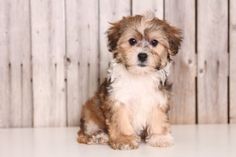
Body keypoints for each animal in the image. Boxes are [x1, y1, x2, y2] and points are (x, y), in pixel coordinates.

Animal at [76, 12, 182, 150]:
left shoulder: (157, 98)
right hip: (90, 112)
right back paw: (98, 136)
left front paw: (159, 137)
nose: (142, 55)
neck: (140, 75)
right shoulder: (117, 99)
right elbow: (120, 120)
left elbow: (158, 118)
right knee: (83, 134)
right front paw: (124, 139)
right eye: (132, 41)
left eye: (154, 42)